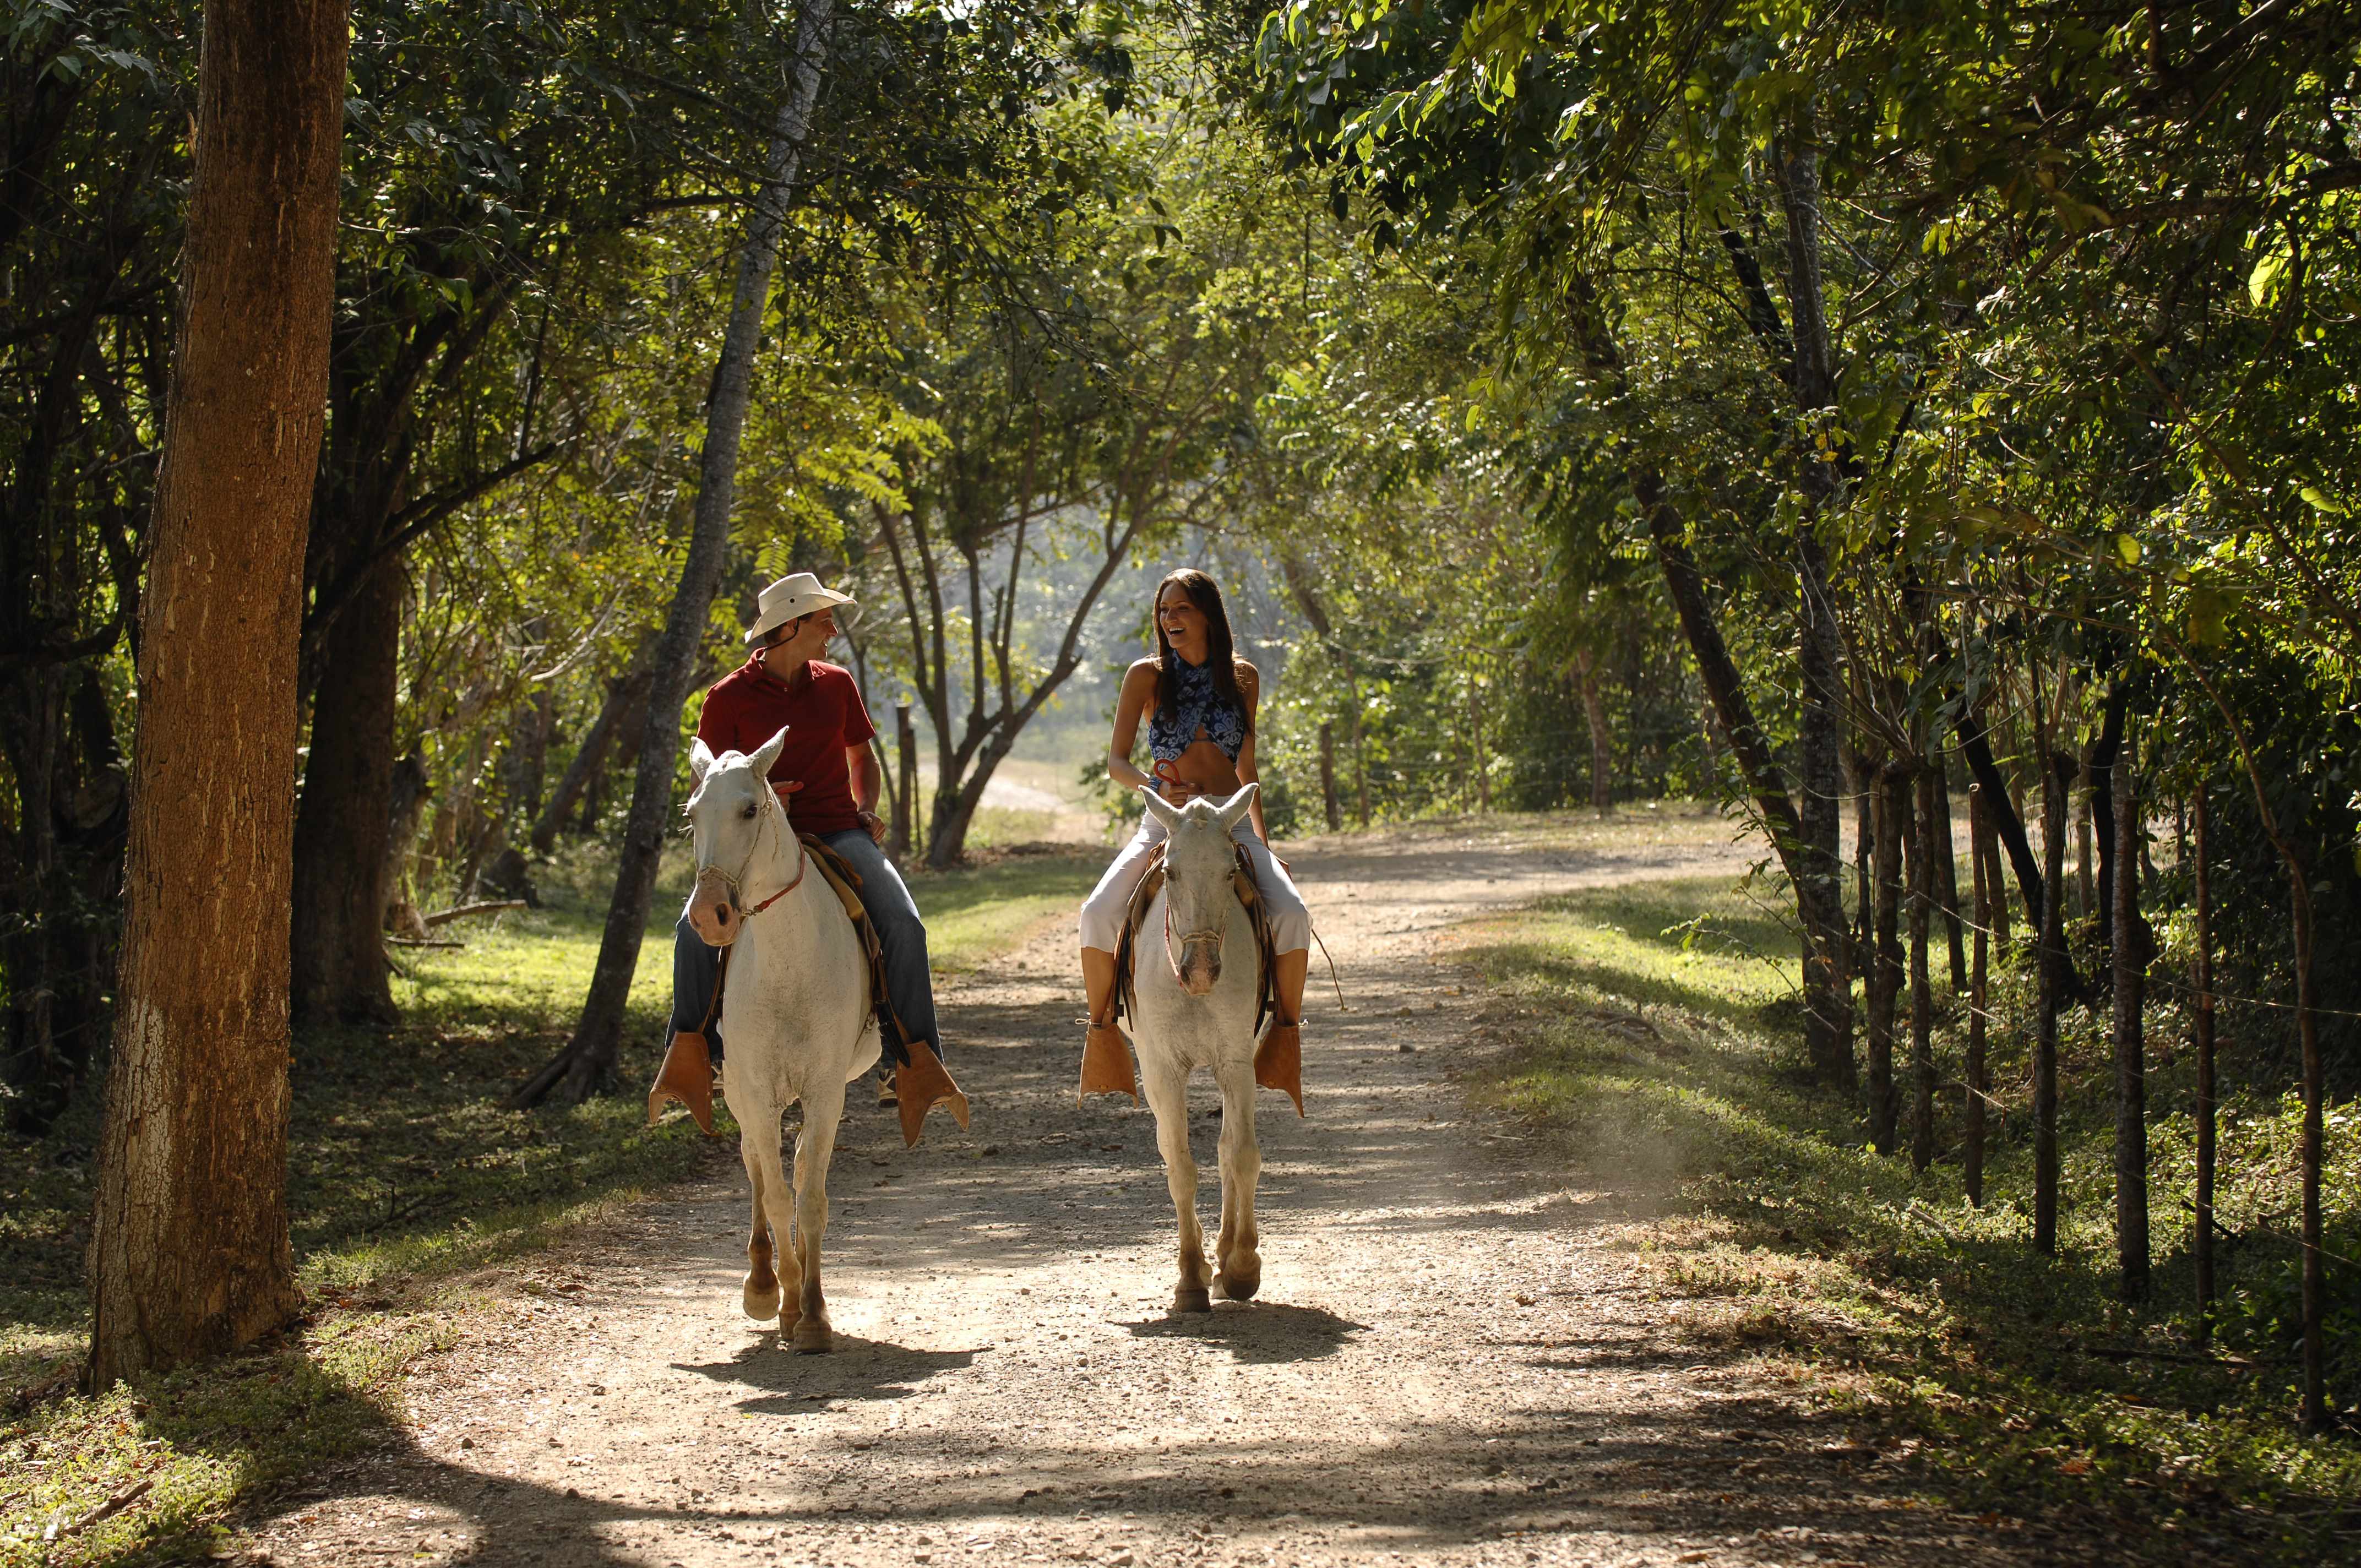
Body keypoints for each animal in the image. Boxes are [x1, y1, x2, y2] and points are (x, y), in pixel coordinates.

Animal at [689, 727, 883, 1351]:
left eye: (750, 809)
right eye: (692, 814)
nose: (710, 915)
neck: (788, 960)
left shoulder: (824, 1091)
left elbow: (812, 1197)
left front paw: (815, 1314)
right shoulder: (754, 1092)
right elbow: (775, 1195)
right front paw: (787, 1298)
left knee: (796, 1165)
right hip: (740, 1093)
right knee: (756, 1163)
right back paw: (762, 1286)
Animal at [1124, 783, 1275, 1313]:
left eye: (1231, 872)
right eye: (1170, 871)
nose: (1203, 970)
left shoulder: (1236, 1062)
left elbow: (1242, 1155)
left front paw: (1242, 1266)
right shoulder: (1163, 1071)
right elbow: (1180, 1166)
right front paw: (1190, 1275)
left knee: (1230, 1147)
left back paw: (1229, 1253)